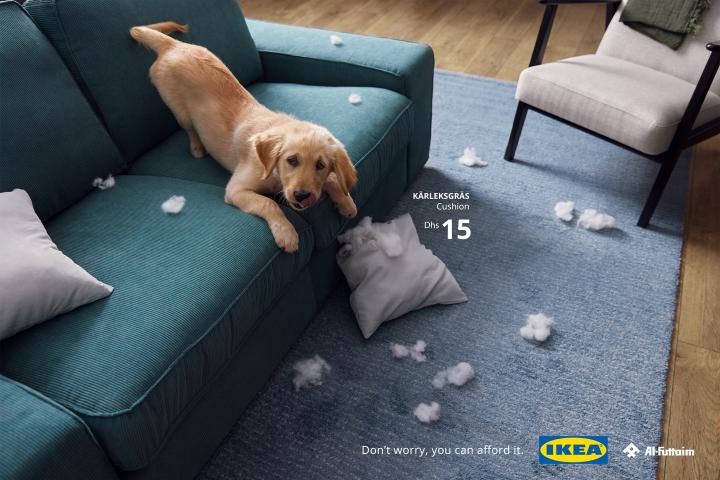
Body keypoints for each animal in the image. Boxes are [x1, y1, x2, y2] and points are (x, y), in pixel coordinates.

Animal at [130, 20, 358, 253]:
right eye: (291, 160)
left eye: (320, 165)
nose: (302, 196)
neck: (274, 174)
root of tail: (174, 45)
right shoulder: (236, 189)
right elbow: (269, 203)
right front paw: (287, 234)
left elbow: (333, 180)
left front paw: (346, 202)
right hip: (178, 110)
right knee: (190, 129)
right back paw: (197, 147)